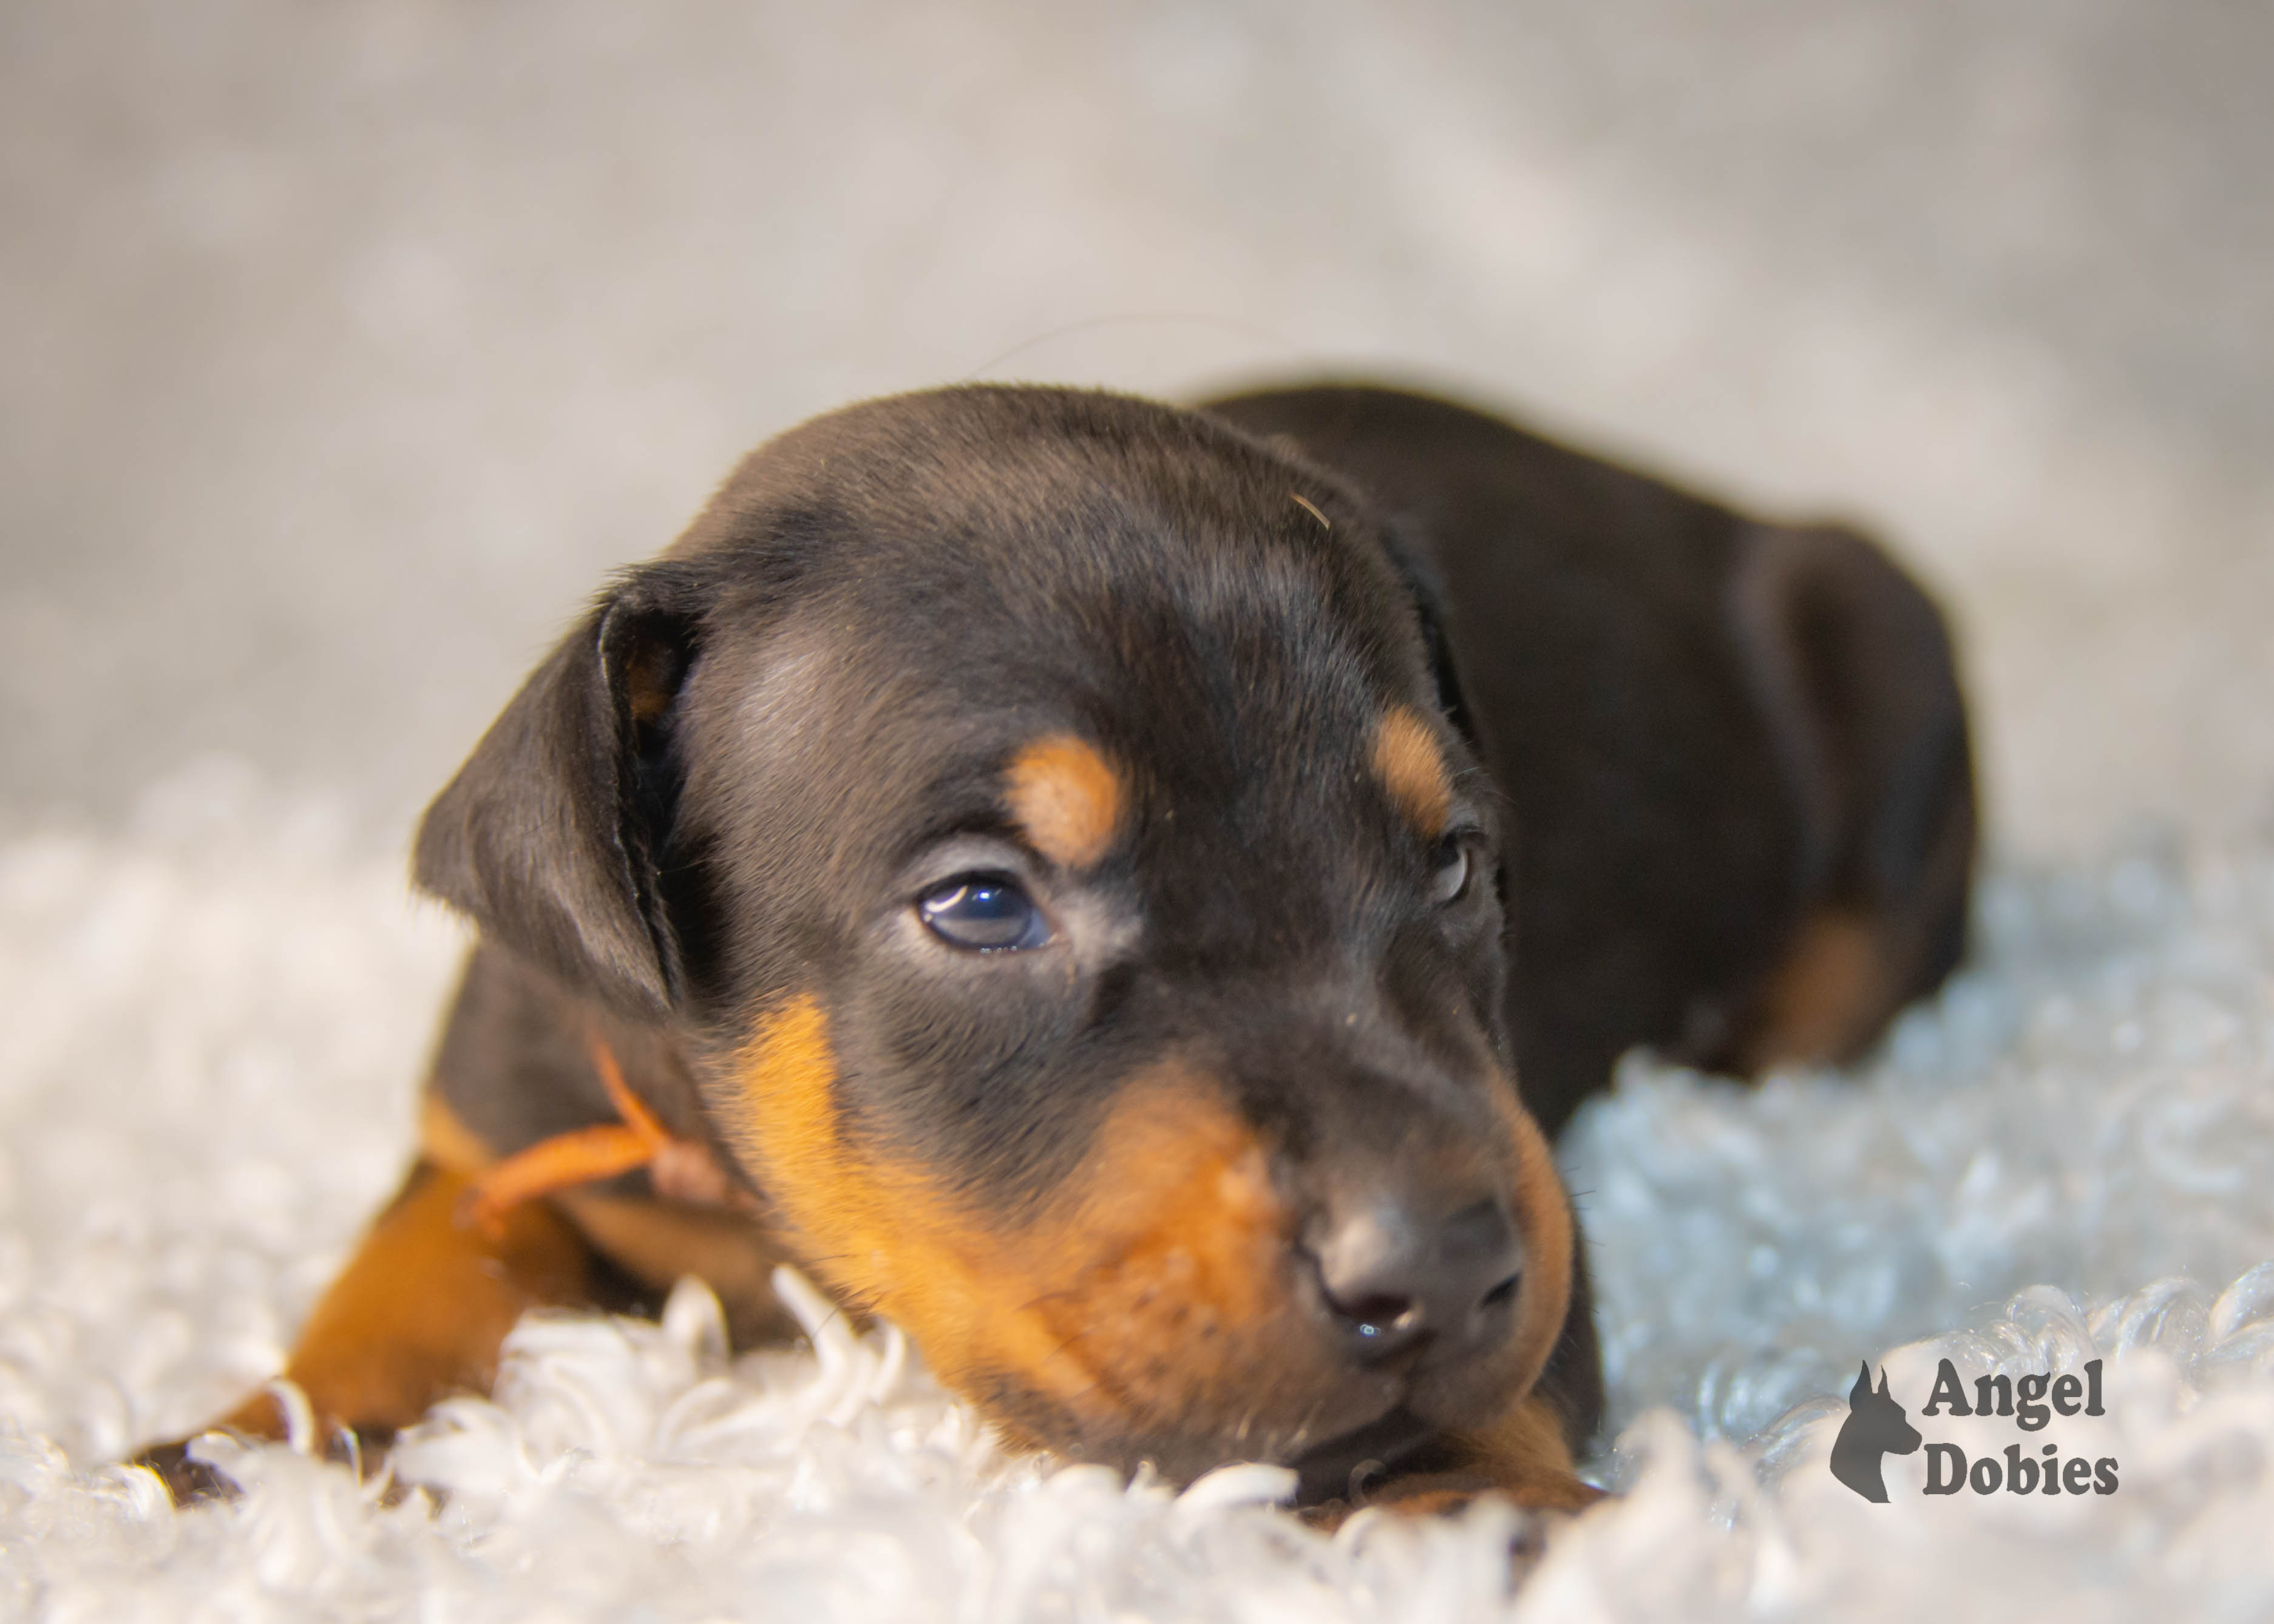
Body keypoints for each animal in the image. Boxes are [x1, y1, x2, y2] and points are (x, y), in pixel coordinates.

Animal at [142, 382, 1974, 1519]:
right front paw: (239, 1457)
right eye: (980, 904)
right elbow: (407, 1266)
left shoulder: (1530, 1194)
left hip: (1881, 656)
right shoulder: (503, 1117)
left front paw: (1489, 1505)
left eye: (1455, 862)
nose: (1445, 1263)